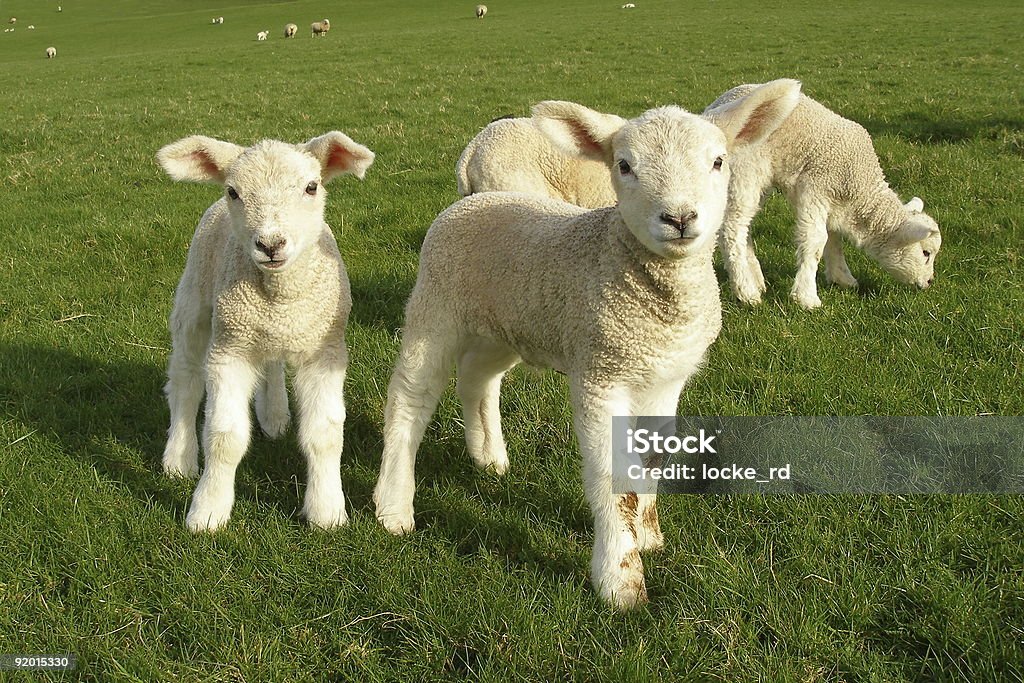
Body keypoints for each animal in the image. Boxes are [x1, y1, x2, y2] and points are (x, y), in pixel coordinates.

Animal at [161, 131, 378, 532]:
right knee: (185, 382)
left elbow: (325, 435)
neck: (280, 297)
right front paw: (208, 511)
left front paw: (327, 511)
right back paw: (178, 459)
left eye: (312, 187)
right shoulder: (229, 351)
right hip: (195, 300)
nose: (270, 244)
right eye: (233, 191)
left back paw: (275, 417)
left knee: (272, 363)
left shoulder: (324, 352)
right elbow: (224, 437)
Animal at [704, 83, 942, 309]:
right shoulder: (816, 189)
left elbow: (834, 239)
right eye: (926, 253)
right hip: (745, 172)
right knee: (732, 229)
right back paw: (746, 291)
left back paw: (757, 279)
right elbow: (816, 241)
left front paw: (842, 278)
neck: (859, 191)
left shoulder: (834, 201)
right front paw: (806, 297)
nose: (930, 282)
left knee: (745, 227)